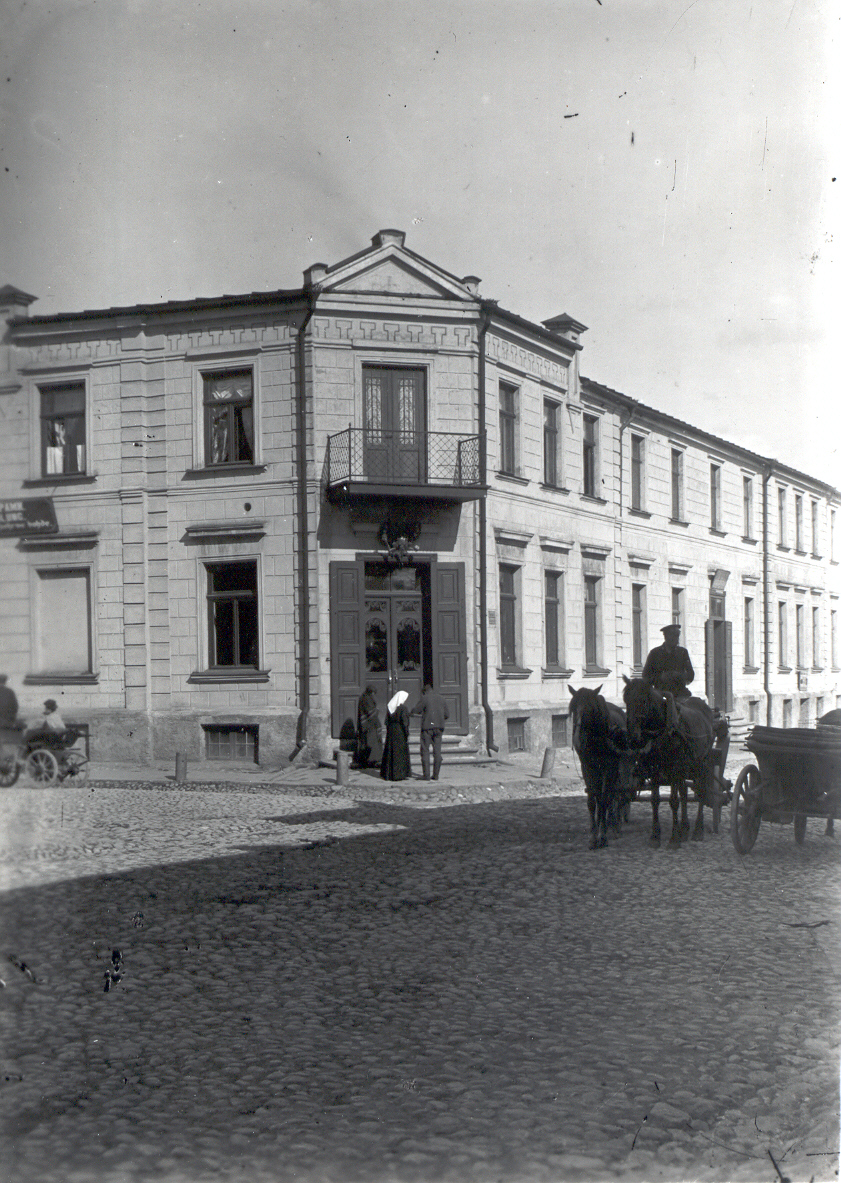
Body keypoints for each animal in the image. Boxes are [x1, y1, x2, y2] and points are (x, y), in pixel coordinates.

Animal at [565, 686, 634, 851]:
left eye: (590, 709)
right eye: (573, 709)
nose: (579, 739)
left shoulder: (608, 769)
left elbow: (604, 799)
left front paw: (602, 836)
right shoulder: (587, 767)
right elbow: (592, 800)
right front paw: (593, 836)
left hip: (621, 767)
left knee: (617, 794)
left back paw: (614, 824)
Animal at [619, 676, 719, 851]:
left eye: (643, 701)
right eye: (626, 700)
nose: (633, 739)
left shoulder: (675, 769)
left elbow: (673, 801)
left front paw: (674, 839)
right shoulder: (654, 770)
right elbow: (655, 800)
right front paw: (655, 836)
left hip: (701, 764)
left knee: (700, 793)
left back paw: (698, 830)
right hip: (686, 768)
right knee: (685, 793)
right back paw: (684, 829)